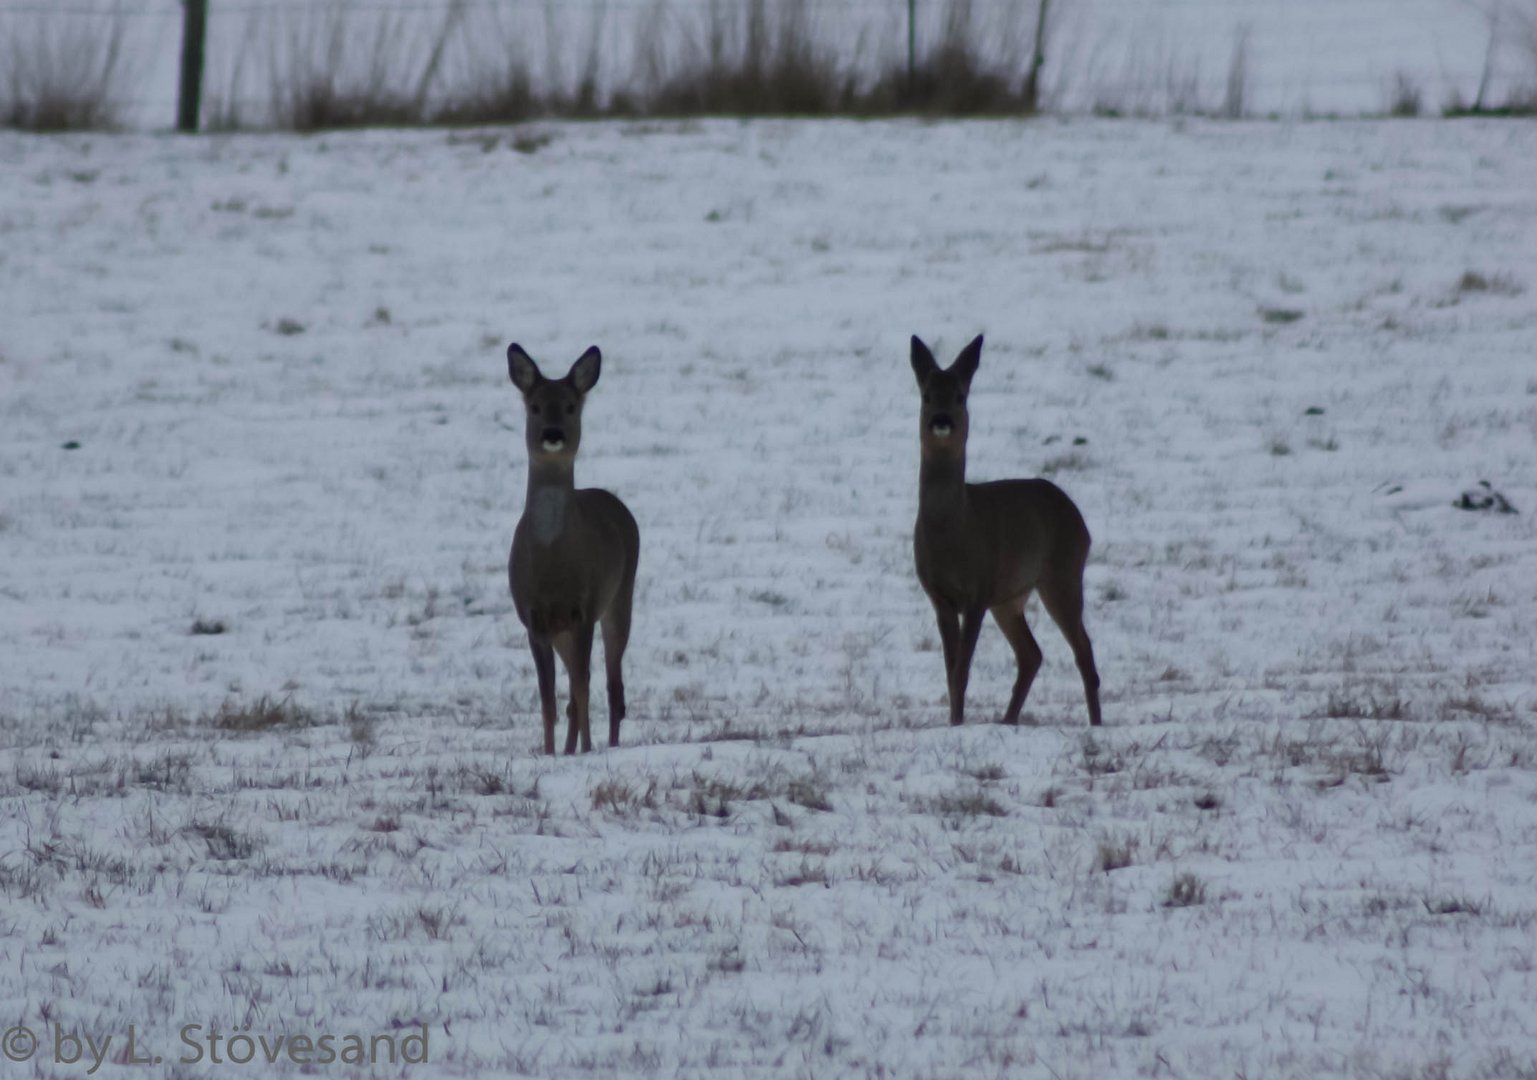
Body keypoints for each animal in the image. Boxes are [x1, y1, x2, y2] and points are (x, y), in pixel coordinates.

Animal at [507, 344, 639, 752]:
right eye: (534, 406)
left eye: (569, 406)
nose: (552, 434)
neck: (552, 565)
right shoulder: (533, 617)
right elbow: (549, 698)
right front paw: (551, 753)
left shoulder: (585, 607)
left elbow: (582, 689)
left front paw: (587, 750)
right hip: (563, 630)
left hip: (621, 595)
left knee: (613, 687)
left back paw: (608, 744)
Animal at [903, 336, 1100, 725]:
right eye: (927, 396)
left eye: (960, 395)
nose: (941, 421)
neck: (953, 530)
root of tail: (1078, 518)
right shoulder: (939, 596)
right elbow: (951, 672)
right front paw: (955, 722)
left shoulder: (978, 589)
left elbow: (962, 671)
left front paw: (958, 725)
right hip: (1011, 597)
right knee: (1032, 654)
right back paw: (1009, 720)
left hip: (1062, 574)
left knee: (1083, 650)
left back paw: (1096, 724)